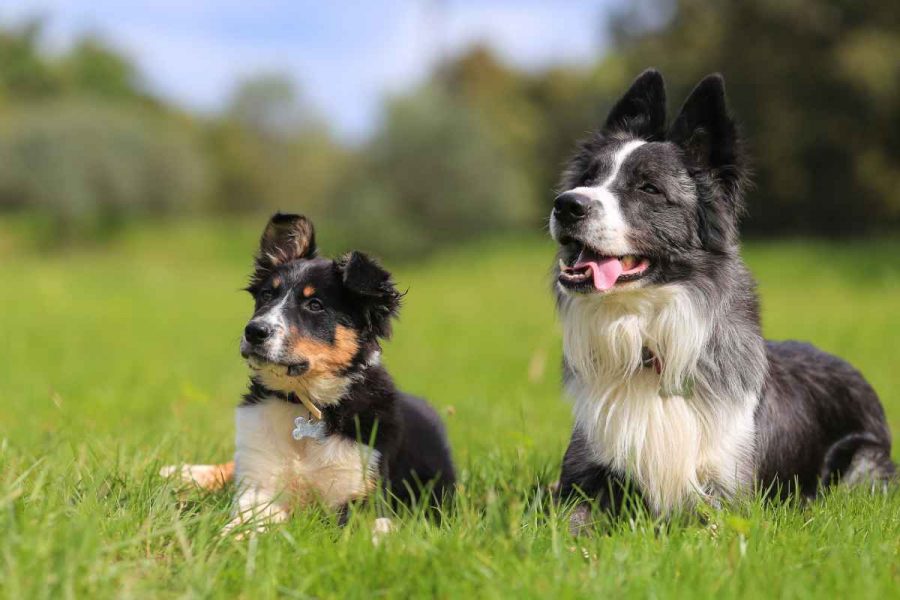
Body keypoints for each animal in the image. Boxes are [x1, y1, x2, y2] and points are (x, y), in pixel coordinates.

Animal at [162, 213, 454, 532]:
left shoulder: (362, 497)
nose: (254, 331)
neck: (304, 403)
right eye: (266, 295)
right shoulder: (258, 483)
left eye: (315, 305)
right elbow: (245, 522)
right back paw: (180, 472)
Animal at [548, 69, 892, 520]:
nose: (566, 205)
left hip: (863, 465)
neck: (648, 342)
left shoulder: (730, 496)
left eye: (648, 188)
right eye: (588, 179)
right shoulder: (580, 480)